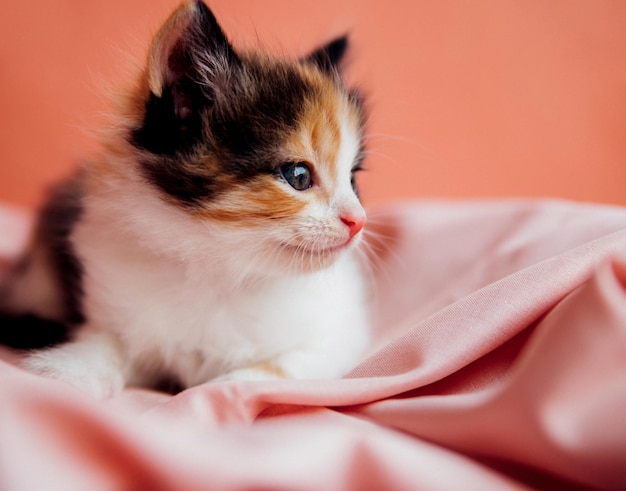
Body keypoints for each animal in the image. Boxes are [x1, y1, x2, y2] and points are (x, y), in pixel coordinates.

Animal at [0, 0, 368, 400]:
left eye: (352, 179)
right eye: (298, 176)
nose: (358, 221)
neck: (221, 271)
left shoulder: (341, 335)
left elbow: (278, 369)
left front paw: (223, 390)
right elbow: (108, 342)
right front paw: (66, 372)